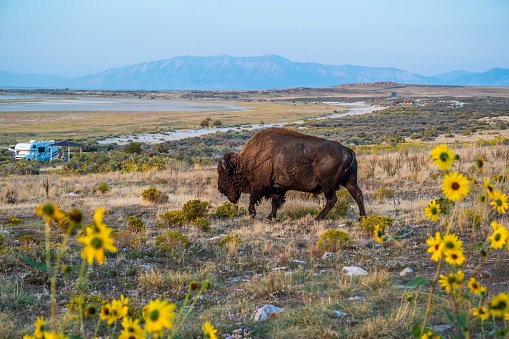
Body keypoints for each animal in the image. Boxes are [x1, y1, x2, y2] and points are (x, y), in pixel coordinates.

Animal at [216, 127, 364, 220]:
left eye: (223, 173)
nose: (220, 189)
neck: (245, 162)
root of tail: (346, 149)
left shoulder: (259, 187)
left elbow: (253, 199)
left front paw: (252, 214)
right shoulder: (278, 188)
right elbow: (275, 203)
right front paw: (270, 217)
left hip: (328, 185)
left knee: (332, 200)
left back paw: (317, 218)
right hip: (350, 181)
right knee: (357, 195)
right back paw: (362, 218)